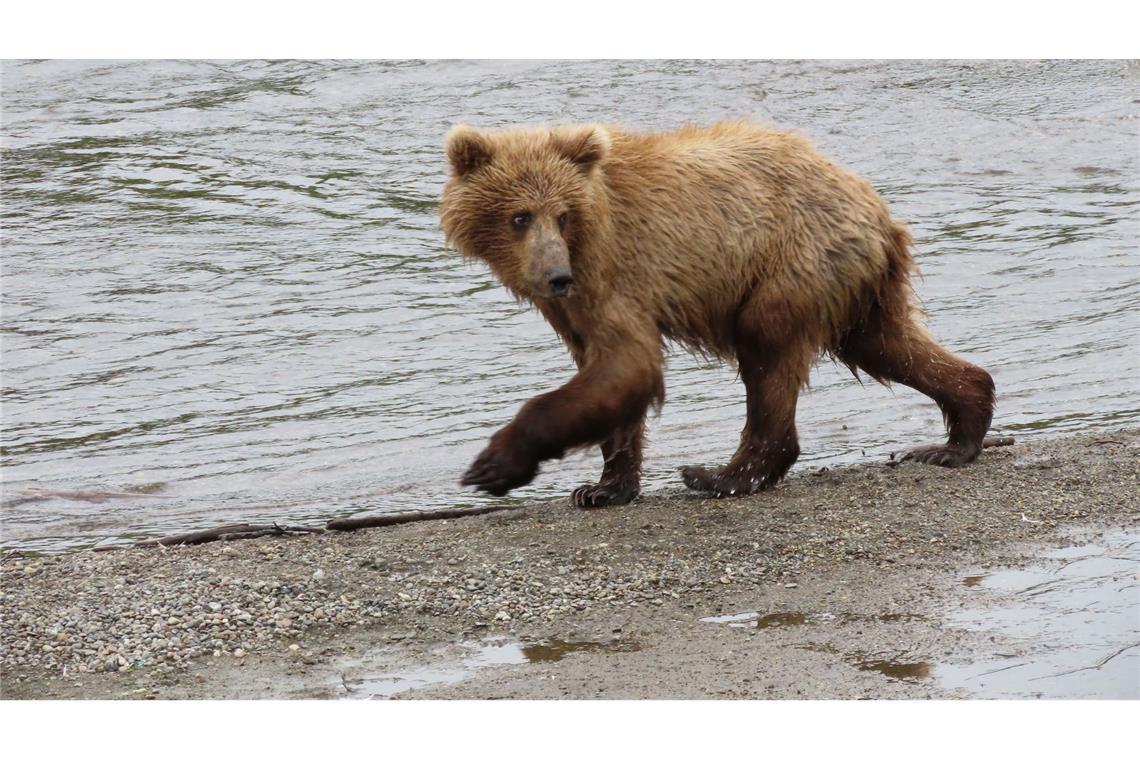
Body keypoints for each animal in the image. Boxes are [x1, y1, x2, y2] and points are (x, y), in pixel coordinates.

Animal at [440, 121, 994, 508]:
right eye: (519, 216)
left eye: (562, 214)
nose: (556, 276)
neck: (583, 243)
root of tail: (877, 206)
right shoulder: (576, 305)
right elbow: (605, 374)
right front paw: (602, 488)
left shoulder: (615, 270)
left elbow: (628, 363)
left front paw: (494, 464)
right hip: (855, 285)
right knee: (888, 345)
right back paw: (956, 435)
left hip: (790, 264)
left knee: (767, 353)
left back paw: (721, 476)